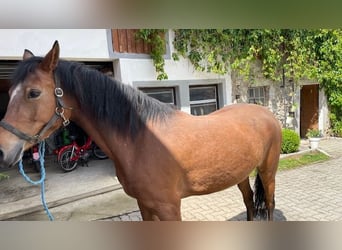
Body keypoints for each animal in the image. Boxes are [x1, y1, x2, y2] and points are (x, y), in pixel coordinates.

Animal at [0, 41, 282, 221]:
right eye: (9, 92)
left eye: (33, 93)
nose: (3, 150)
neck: (141, 142)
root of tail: (266, 112)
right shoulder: (144, 206)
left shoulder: (169, 209)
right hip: (241, 173)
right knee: (249, 201)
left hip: (268, 171)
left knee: (268, 203)